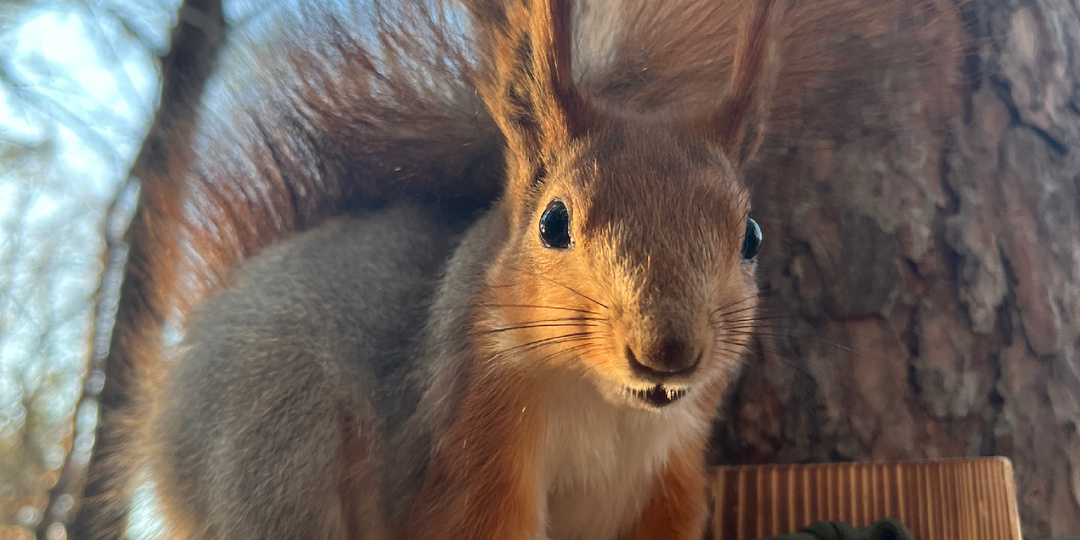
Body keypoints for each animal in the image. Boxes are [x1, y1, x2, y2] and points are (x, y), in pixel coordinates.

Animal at [72, 0, 965, 538]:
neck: (605, 406)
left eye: (750, 236)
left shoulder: (672, 475)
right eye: (554, 223)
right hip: (272, 440)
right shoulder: (473, 441)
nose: (668, 352)